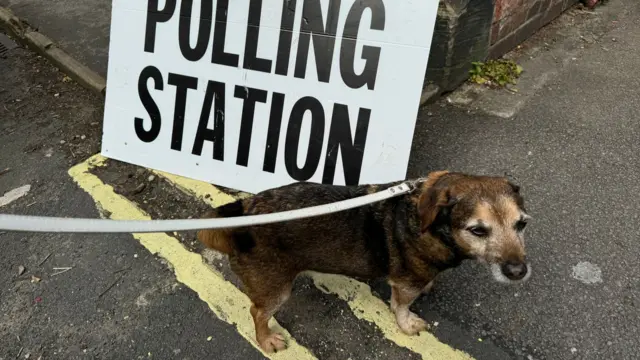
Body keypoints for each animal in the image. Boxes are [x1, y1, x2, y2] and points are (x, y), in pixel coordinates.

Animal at [198, 171, 532, 352]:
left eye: (522, 224)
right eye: (478, 230)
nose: (518, 271)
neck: (432, 226)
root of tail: (243, 211)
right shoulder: (404, 284)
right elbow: (401, 306)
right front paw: (407, 323)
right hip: (275, 288)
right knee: (257, 311)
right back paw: (266, 339)